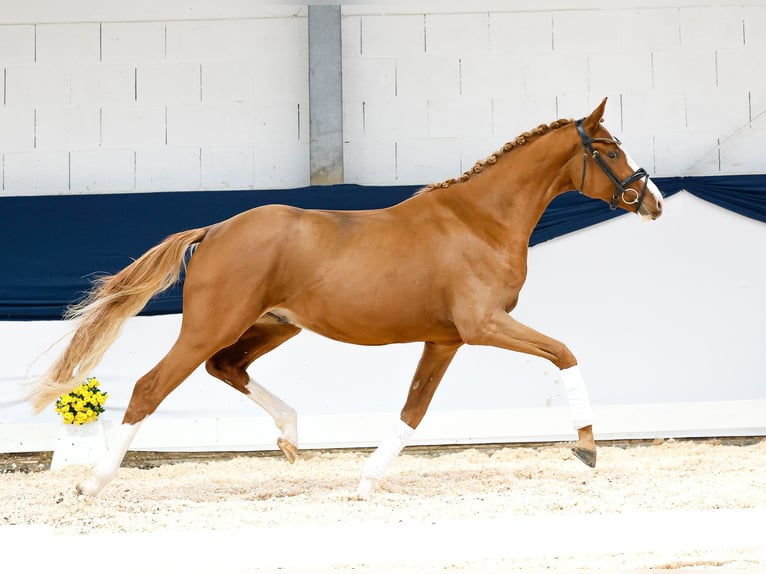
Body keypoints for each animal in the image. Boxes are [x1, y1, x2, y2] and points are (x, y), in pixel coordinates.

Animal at [30, 99, 664, 500]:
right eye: (609, 149)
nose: (653, 201)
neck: (479, 221)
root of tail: (213, 231)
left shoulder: (446, 339)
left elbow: (413, 411)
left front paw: (367, 482)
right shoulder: (483, 325)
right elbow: (564, 353)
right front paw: (587, 447)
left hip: (275, 324)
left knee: (227, 367)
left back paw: (291, 436)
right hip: (211, 325)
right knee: (150, 387)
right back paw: (91, 484)